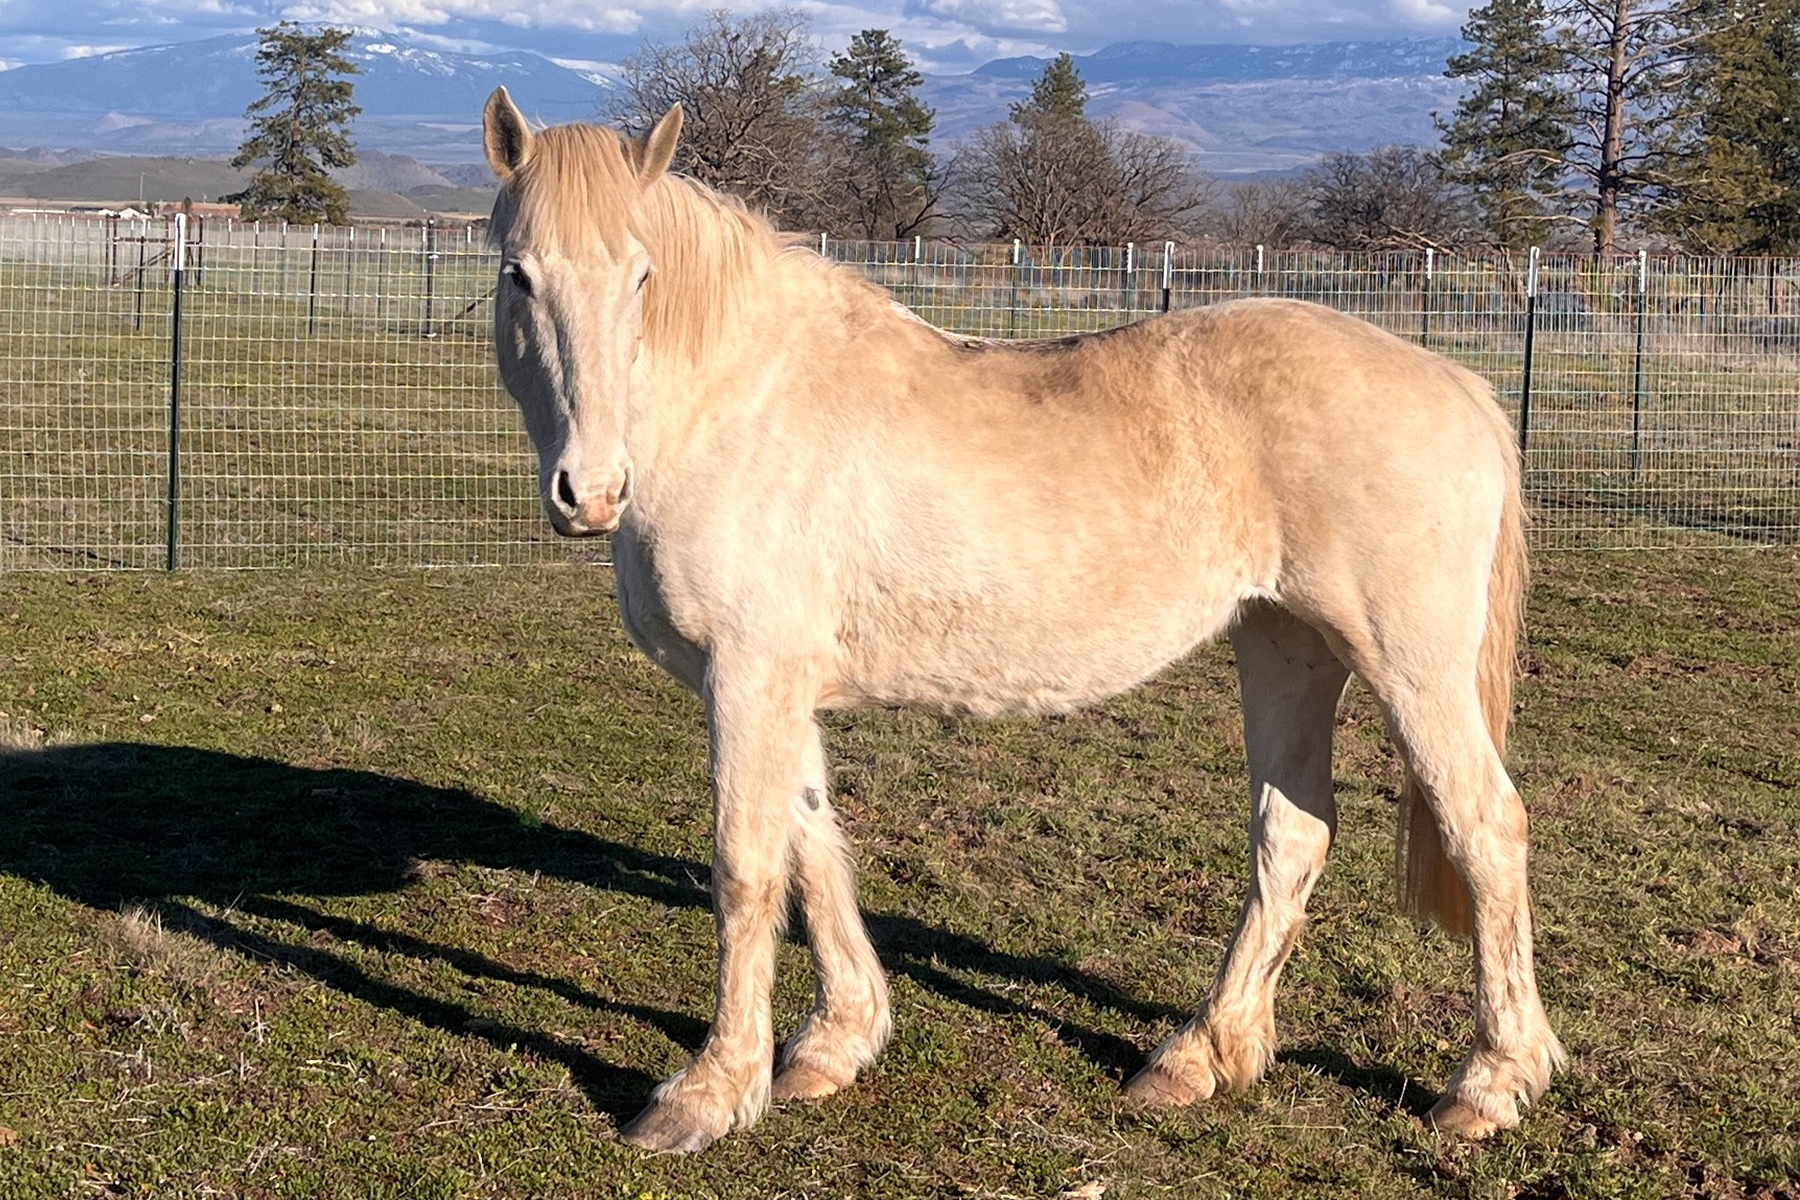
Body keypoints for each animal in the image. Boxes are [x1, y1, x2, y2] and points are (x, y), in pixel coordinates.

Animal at [479, 86, 1565, 1154]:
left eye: (642, 276)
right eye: (519, 278)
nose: (590, 493)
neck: (739, 407)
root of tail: (1459, 386)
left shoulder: (748, 678)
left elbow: (747, 869)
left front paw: (707, 1095)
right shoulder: (778, 685)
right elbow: (813, 846)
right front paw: (834, 1046)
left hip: (1410, 665)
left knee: (1485, 827)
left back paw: (1490, 1083)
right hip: (1286, 644)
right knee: (1292, 833)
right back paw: (1201, 1056)